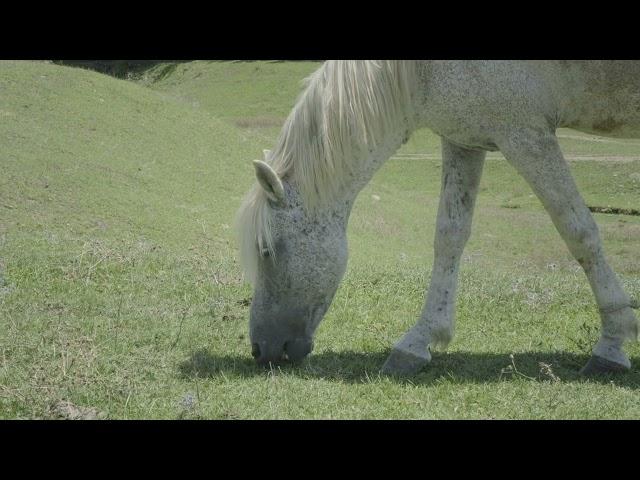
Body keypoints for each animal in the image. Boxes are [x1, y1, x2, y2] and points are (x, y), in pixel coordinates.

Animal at [236, 61, 640, 376]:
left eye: (267, 251)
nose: (260, 349)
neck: (421, 70)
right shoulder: (465, 140)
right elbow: (450, 235)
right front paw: (420, 341)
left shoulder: (526, 135)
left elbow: (578, 230)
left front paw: (612, 343)